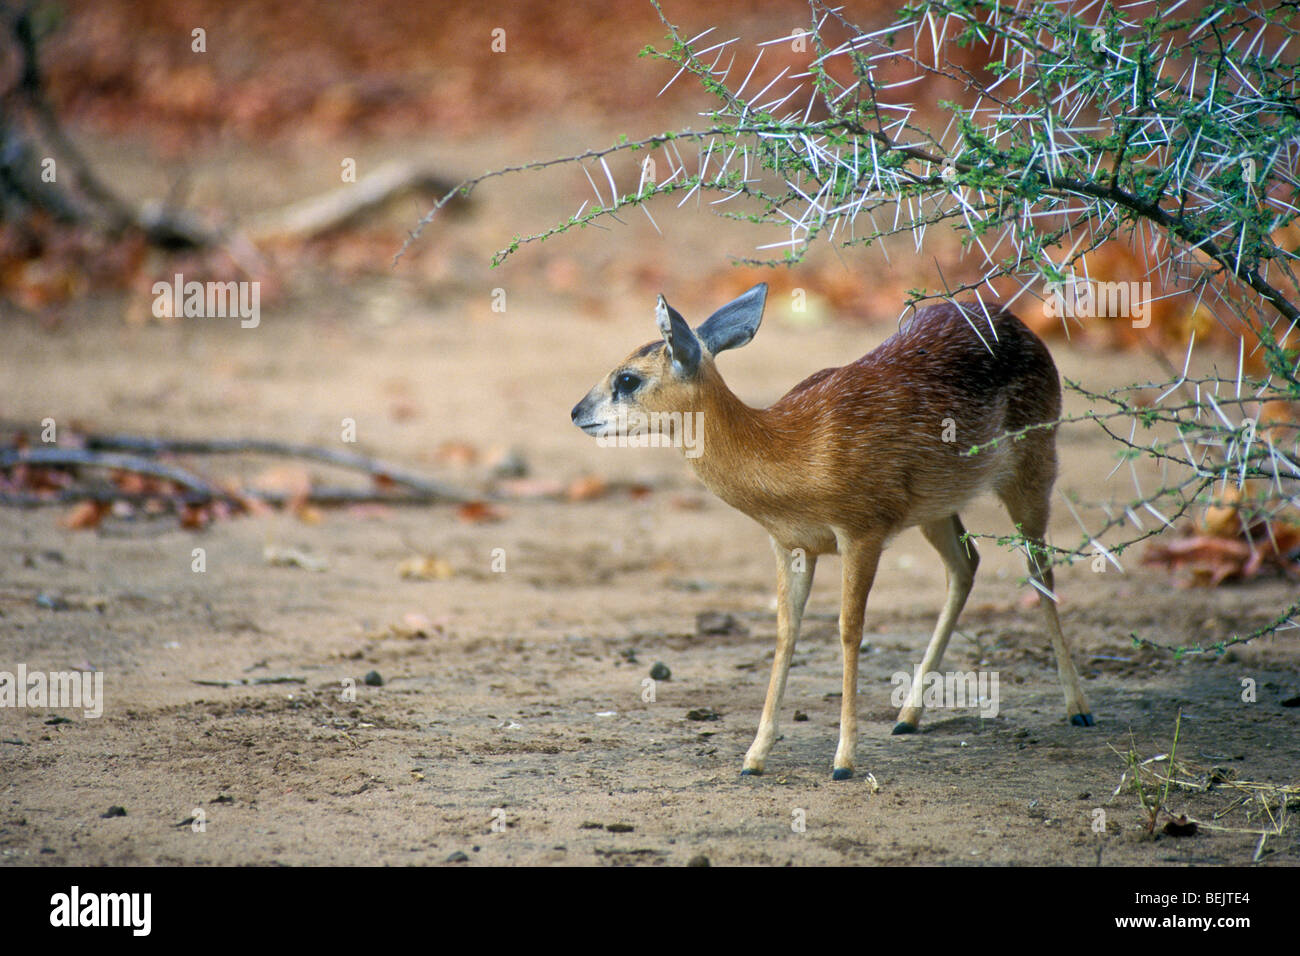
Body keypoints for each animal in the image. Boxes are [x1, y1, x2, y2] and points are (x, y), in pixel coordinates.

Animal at [574, 282, 1092, 780]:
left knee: (1040, 569)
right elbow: (787, 630)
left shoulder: (861, 531)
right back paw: (907, 717)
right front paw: (754, 756)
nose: (577, 412)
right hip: (936, 505)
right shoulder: (790, 544)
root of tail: (1019, 324)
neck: (792, 452)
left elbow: (848, 629)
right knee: (966, 567)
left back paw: (1079, 709)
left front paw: (844, 760)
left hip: (1033, 466)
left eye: (627, 378)